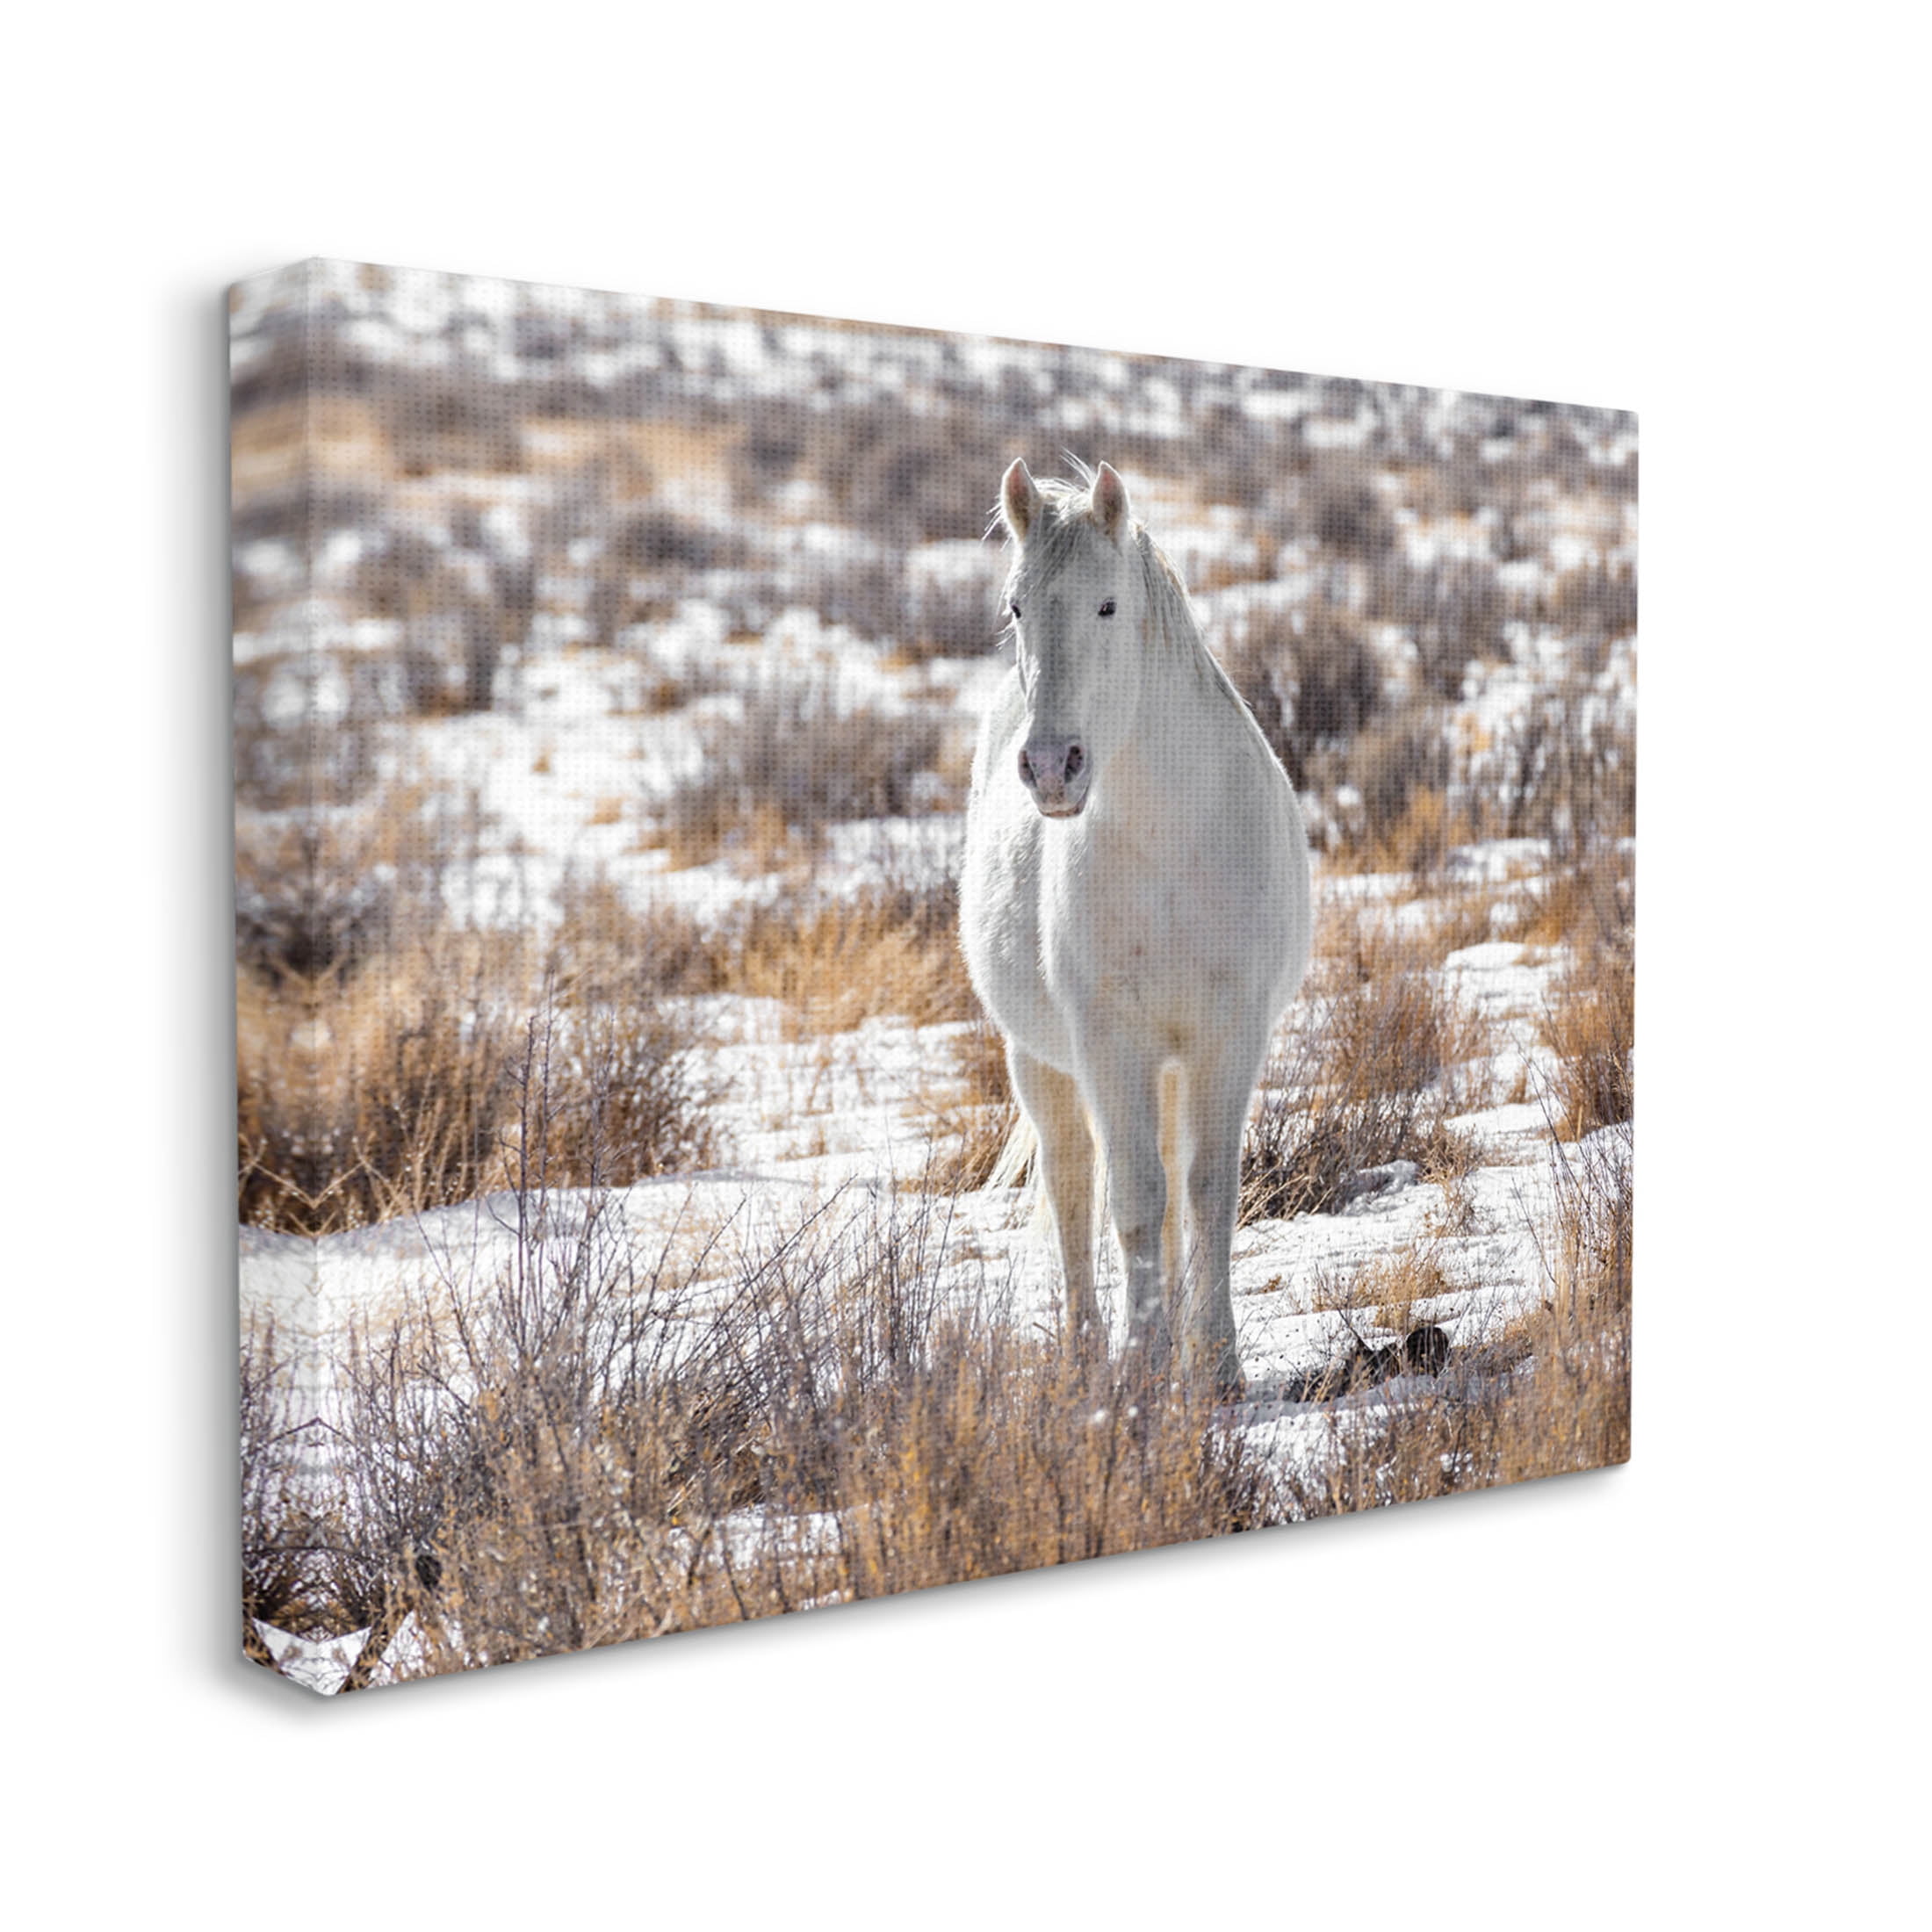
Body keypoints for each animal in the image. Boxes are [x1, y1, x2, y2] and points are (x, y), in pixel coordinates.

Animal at [959, 460, 1312, 1395]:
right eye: (1017, 606)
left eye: (1108, 605)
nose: (1052, 768)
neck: (1172, 842)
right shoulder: (1108, 1042)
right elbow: (1134, 1198)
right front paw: (1144, 1364)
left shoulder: (1229, 1035)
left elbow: (1207, 1190)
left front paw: (1216, 1364)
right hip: (1042, 1060)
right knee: (1074, 1185)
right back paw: (1088, 1347)